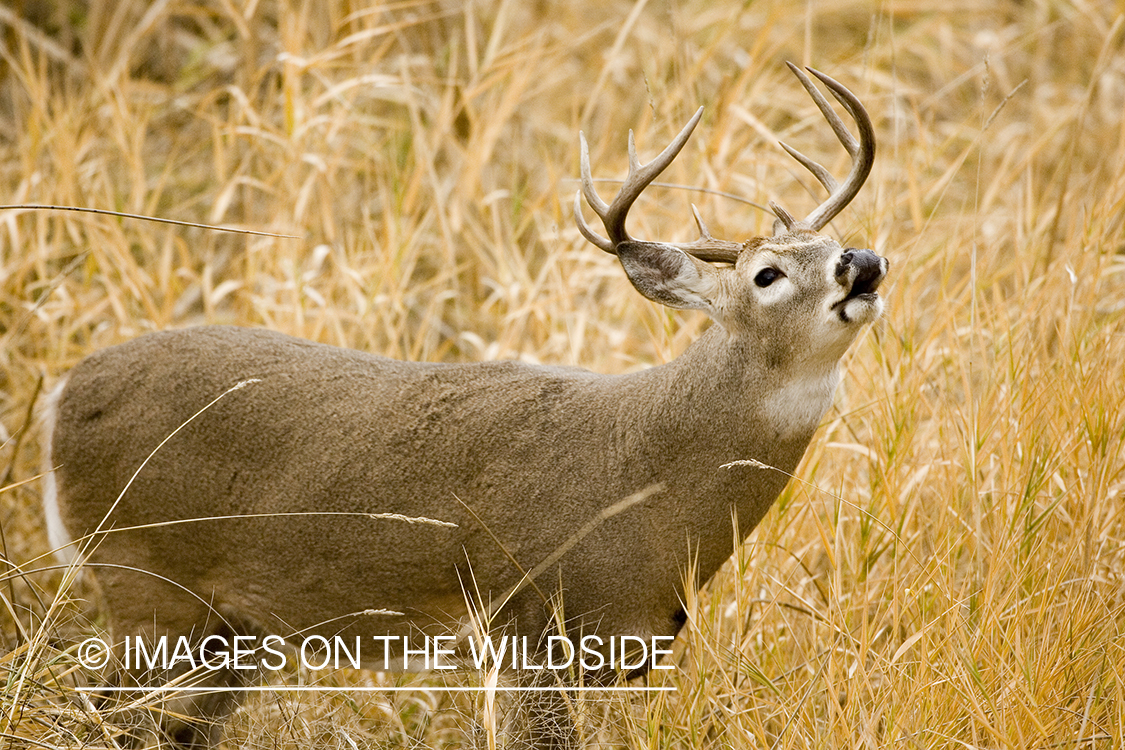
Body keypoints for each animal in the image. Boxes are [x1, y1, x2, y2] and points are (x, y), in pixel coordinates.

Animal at [41, 64, 886, 746]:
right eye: (766, 274)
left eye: (836, 240)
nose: (865, 263)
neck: (648, 474)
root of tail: (63, 393)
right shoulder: (534, 627)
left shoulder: (623, 652)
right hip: (143, 582)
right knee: (95, 715)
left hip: (229, 632)